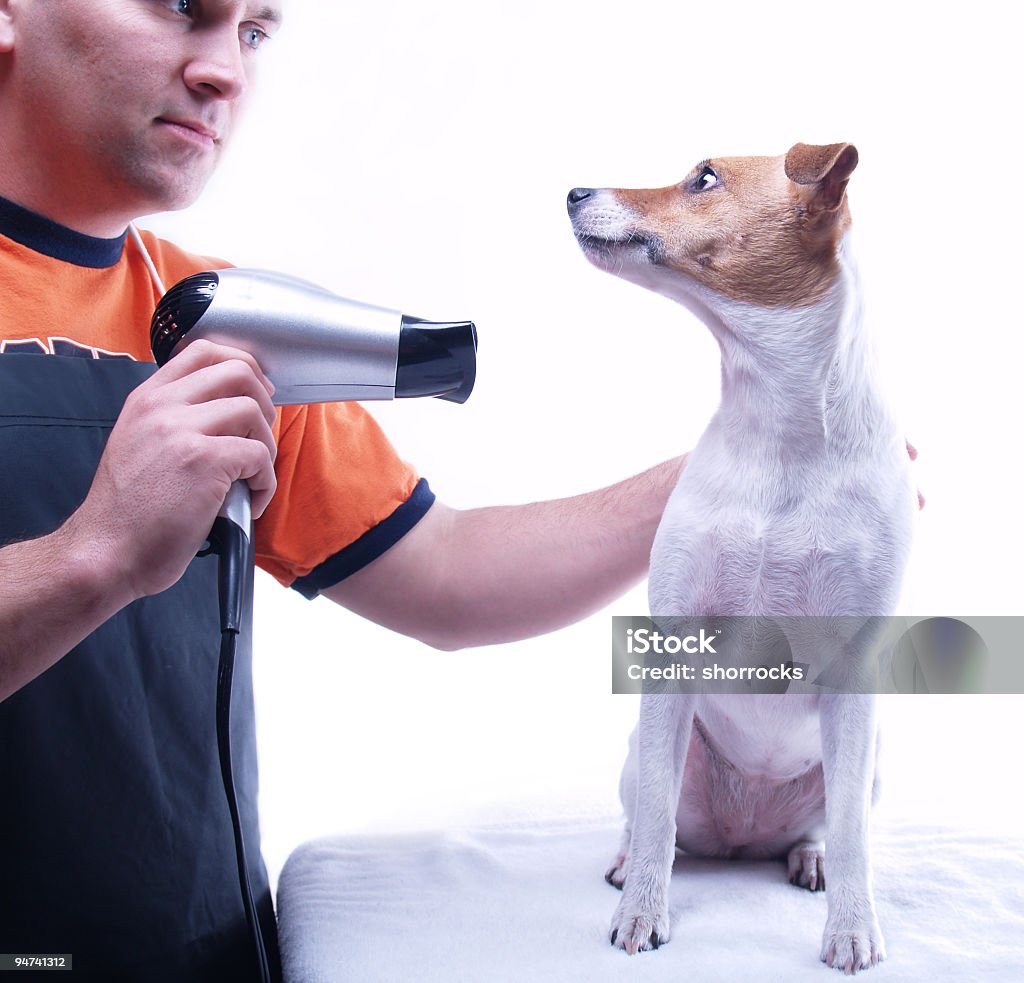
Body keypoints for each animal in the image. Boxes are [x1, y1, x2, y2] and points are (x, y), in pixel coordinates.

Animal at [569, 142, 921, 970]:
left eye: (704, 177)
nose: (572, 192)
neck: (777, 423)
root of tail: (743, 837)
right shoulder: (675, 645)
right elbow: (657, 816)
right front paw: (642, 913)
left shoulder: (855, 671)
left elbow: (855, 835)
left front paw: (852, 929)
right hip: (649, 750)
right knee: (654, 813)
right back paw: (632, 863)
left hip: (866, 758)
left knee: (826, 823)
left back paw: (810, 857)